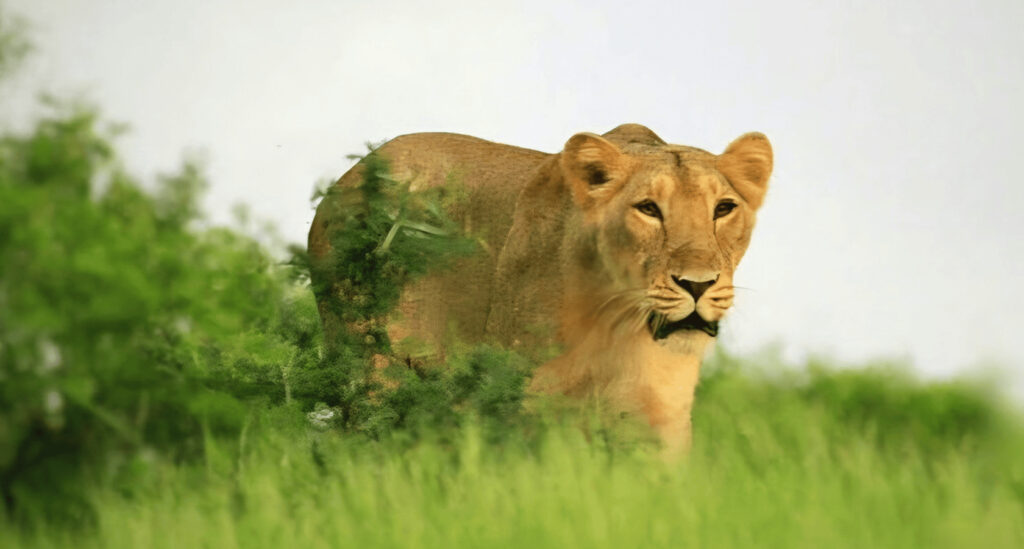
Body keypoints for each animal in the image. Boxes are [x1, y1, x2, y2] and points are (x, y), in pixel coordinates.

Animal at [308, 123, 772, 452]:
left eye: (724, 209)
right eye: (648, 209)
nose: (698, 284)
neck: (618, 325)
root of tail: (347, 177)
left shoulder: (660, 412)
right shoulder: (524, 396)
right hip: (370, 365)